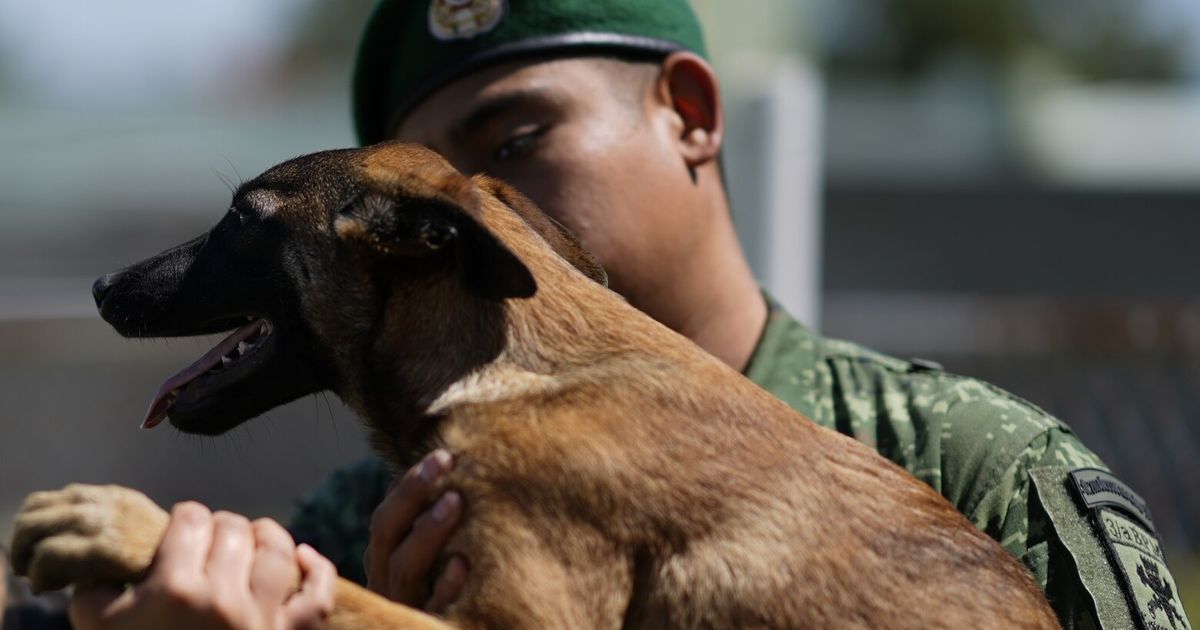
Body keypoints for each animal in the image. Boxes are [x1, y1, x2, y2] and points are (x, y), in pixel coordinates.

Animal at [9, 142, 1060, 628]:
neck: (515, 368)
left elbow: (335, 589)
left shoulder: (514, 615)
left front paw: (123, 525)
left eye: (242, 218)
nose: (98, 288)